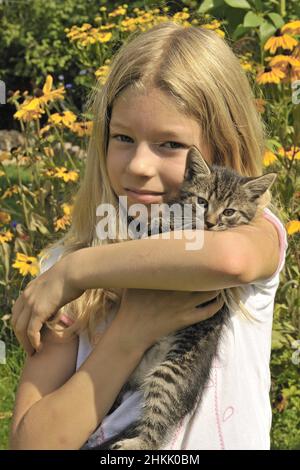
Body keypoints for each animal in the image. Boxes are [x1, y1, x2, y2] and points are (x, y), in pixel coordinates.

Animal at [92, 145, 276, 450]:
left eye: (229, 212)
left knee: (156, 428)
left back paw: (134, 443)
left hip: (170, 373)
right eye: (202, 202)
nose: (210, 223)